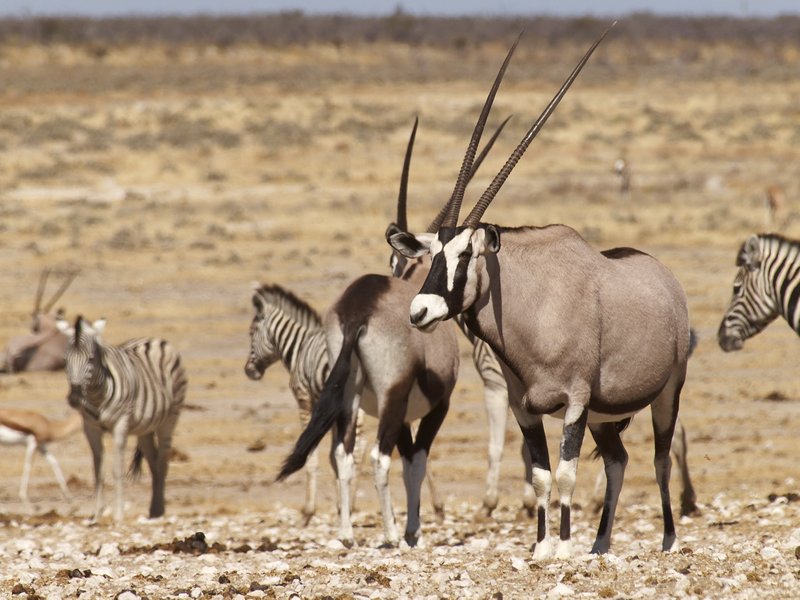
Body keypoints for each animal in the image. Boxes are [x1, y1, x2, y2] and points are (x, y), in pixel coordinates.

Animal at [56, 315, 187, 523]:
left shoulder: (120, 424)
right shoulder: (90, 428)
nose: (75, 398)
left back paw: (159, 509)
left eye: (90, 359)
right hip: (145, 428)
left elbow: (117, 471)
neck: (96, 395)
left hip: (170, 419)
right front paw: (96, 514)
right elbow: (98, 471)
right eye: (64, 360)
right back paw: (154, 510)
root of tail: (152, 338)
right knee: (153, 462)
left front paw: (118, 515)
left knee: (162, 462)